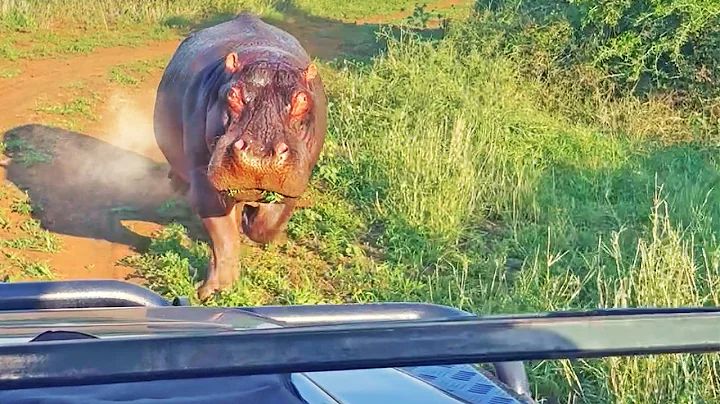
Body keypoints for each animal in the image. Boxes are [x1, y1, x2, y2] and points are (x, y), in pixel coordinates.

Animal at [153, 13, 327, 300]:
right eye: (232, 93)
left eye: (302, 99)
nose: (260, 154)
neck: (265, 56)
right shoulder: (204, 178)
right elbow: (223, 235)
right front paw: (214, 290)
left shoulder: (295, 182)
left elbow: (268, 223)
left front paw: (252, 220)